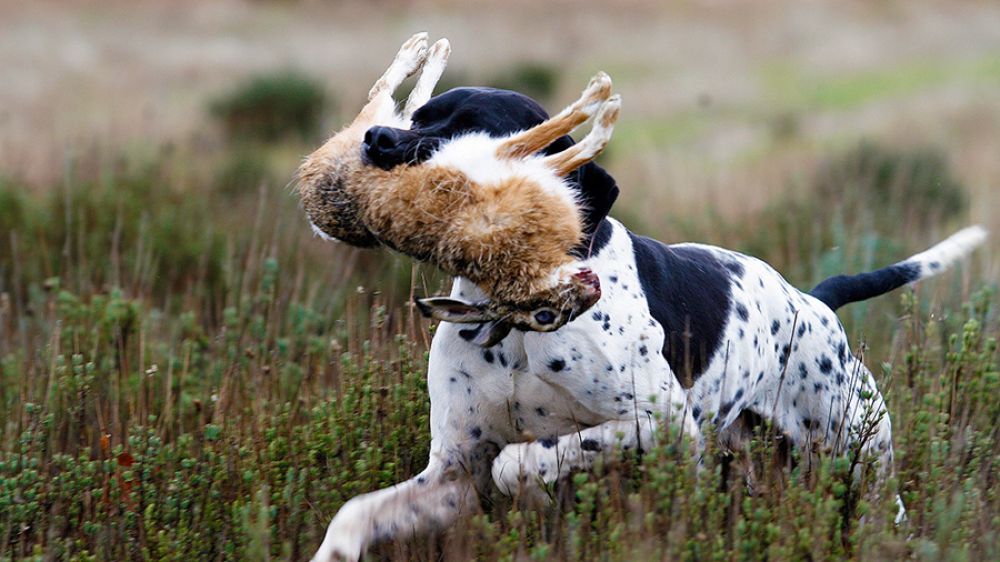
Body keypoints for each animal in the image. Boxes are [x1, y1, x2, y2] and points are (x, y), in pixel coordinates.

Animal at [308, 36, 988, 560]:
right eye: (420, 118)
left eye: (471, 128)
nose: (374, 138)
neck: (519, 312)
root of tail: (814, 300)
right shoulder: (453, 470)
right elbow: (353, 512)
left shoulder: (658, 424)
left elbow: (526, 458)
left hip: (858, 465)